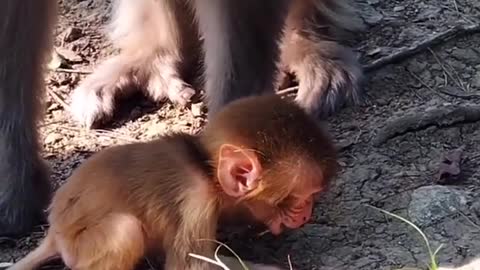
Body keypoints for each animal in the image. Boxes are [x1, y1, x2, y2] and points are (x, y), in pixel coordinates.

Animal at [12, 95, 342, 270]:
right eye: (302, 197)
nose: (306, 214)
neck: (204, 169)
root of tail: (54, 232)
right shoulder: (196, 202)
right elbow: (192, 265)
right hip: (79, 246)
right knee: (125, 230)